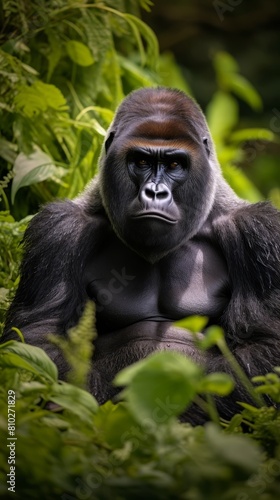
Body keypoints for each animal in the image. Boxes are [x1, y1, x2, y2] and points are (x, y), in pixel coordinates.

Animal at [2, 88, 280, 424]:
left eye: (174, 165)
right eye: (142, 160)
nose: (155, 192)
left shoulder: (259, 231)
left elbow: (265, 348)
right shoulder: (58, 230)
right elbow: (39, 340)